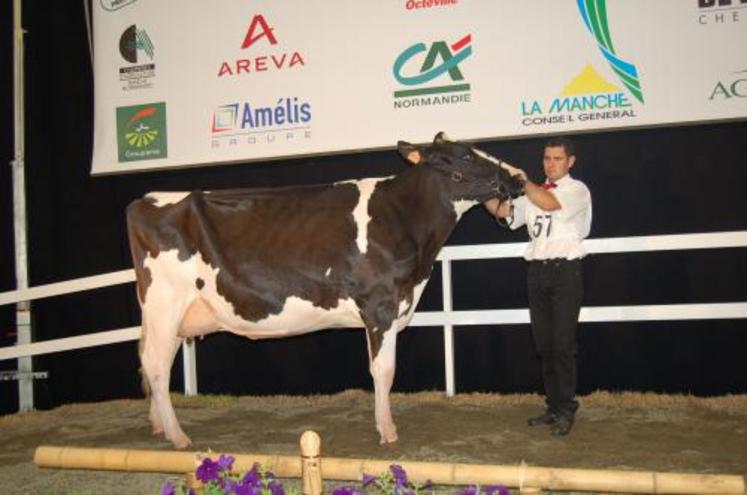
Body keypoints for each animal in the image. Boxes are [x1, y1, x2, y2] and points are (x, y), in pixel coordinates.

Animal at [127, 132, 524, 450]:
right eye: (466, 155)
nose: (518, 178)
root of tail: (144, 200)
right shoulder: (380, 304)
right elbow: (384, 370)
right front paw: (387, 431)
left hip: (176, 314)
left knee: (154, 360)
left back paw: (159, 426)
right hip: (165, 302)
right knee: (157, 366)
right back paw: (178, 436)